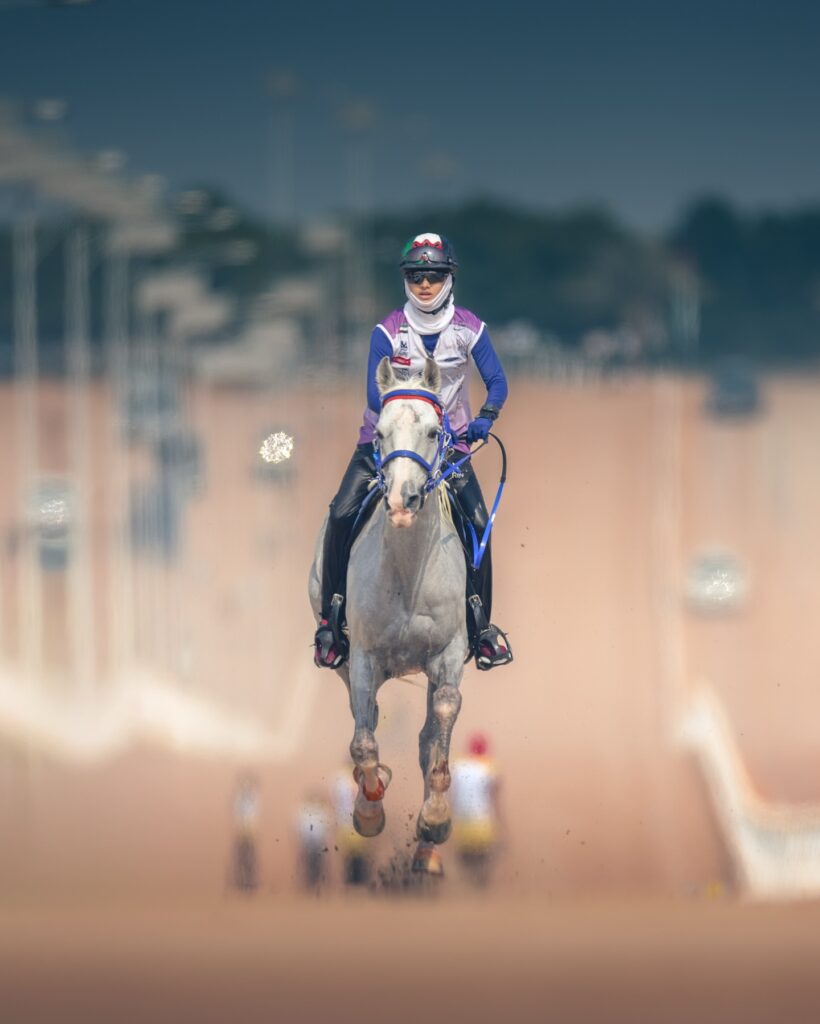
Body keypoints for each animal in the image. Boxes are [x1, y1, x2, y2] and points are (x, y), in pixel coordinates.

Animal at [309, 356, 468, 872]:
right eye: (379, 433)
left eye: (435, 431)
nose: (401, 500)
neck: (408, 572)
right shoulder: (362, 655)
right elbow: (363, 740)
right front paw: (369, 810)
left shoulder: (448, 653)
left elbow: (440, 724)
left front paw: (434, 820)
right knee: (367, 716)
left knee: (423, 735)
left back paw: (426, 854)